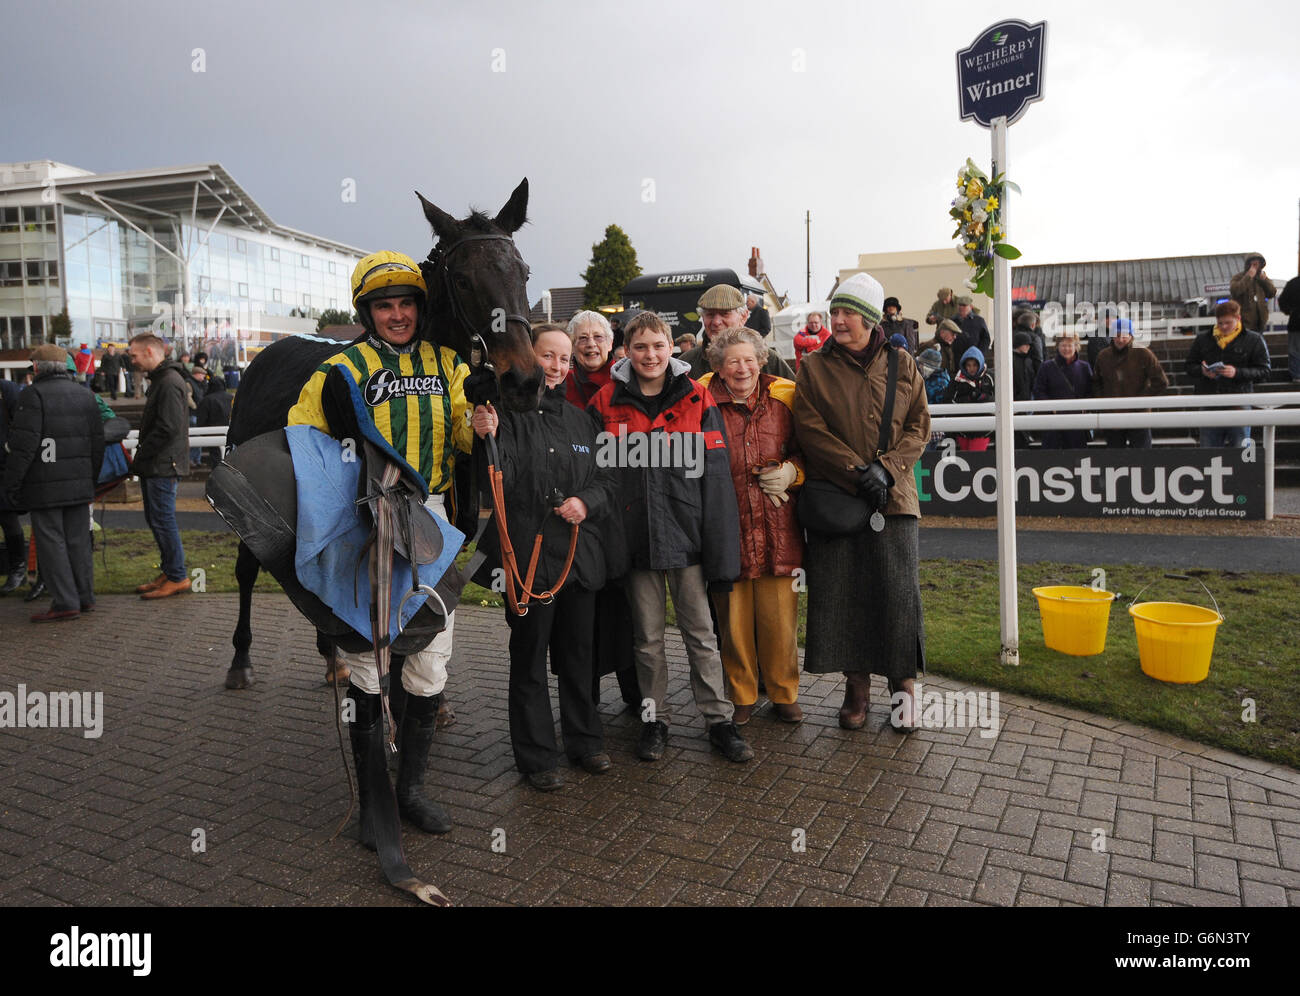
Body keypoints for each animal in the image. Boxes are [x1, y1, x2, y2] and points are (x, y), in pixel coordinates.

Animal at [223, 179, 538, 696]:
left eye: (524, 273)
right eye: (463, 280)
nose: (524, 380)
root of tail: (265, 353)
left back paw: (332, 657)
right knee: (248, 568)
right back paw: (241, 659)